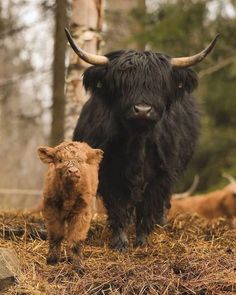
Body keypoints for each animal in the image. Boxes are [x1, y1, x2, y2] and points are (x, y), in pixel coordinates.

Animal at [37, 141, 102, 272]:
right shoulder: (51, 209)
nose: (73, 171)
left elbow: (76, 239)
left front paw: (78, 266)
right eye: (60, 159)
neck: (69, 194)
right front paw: (52, 260)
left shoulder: (83, 212)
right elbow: (56, 235)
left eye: (81, 160)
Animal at [65, 29, 218, 252]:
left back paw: (161, 223)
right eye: (122, 83)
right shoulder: (108, 172)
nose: (143, 110)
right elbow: (118, 206)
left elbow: (149, 206)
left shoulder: (162, 174)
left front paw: (143, 240)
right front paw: (120, 242)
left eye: (160, 84)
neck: (137, 142)